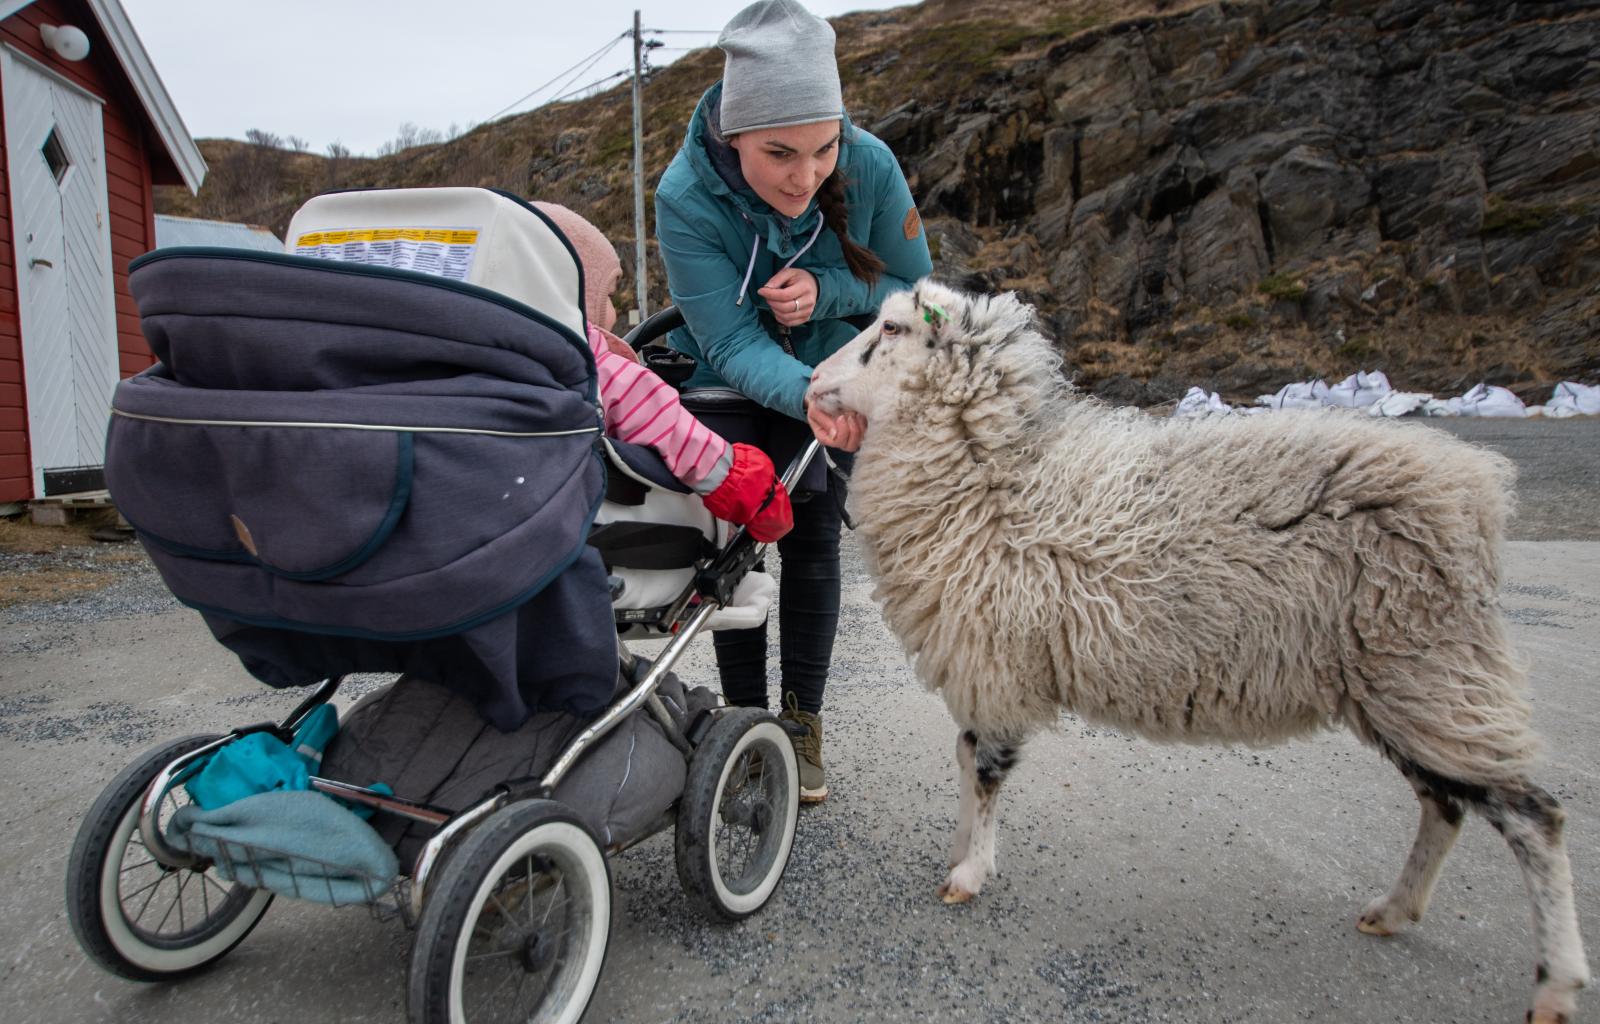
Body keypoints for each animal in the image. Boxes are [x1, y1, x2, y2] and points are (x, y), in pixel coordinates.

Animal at [806, 278, 1593, 1024]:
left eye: (891, 330)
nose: (812, 380)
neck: (996, 475)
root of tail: (1474, 493)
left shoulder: (997, 662)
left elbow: (986, 771)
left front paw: (969, 874)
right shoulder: (984, 665)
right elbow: (965, 759)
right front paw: (960, 852)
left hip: (1431, 666)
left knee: (1535, 818)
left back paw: (1555, 983)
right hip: (1402, 684)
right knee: (1445, 804)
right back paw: (1394, 910)